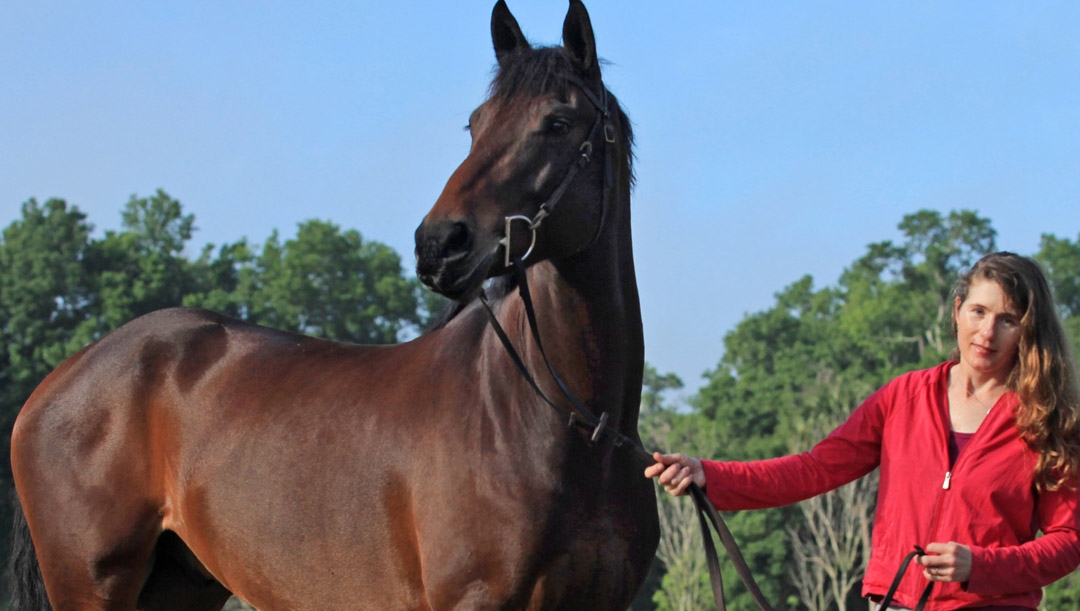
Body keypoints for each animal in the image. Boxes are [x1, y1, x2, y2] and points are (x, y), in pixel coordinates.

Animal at [9, 1, 659, 609]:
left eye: (558, 121)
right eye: (475, 124)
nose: (439, 244)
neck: (566, 422)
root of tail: (59, 381)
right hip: (92, 586)